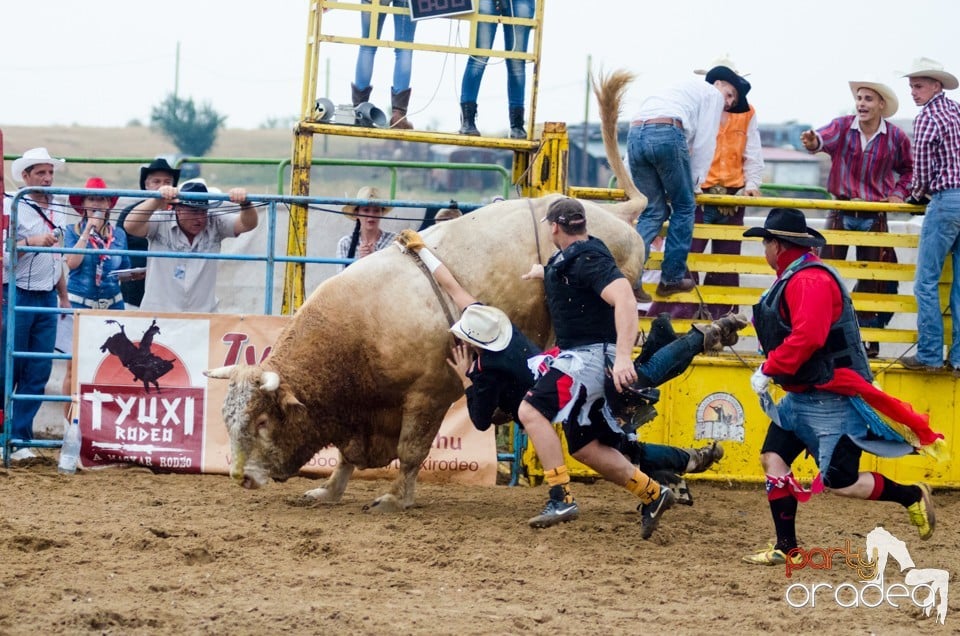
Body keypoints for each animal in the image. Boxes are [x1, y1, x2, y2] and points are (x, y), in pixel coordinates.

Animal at [206, 69, 648, 512]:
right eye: (228, 419)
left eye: (263, 420)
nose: (241, 477)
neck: (360, 333)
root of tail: (616, 214)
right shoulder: (364, 416)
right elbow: (349, 456)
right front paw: (328, 490)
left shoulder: (427, 395)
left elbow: (412, 450)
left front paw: (395, 498)